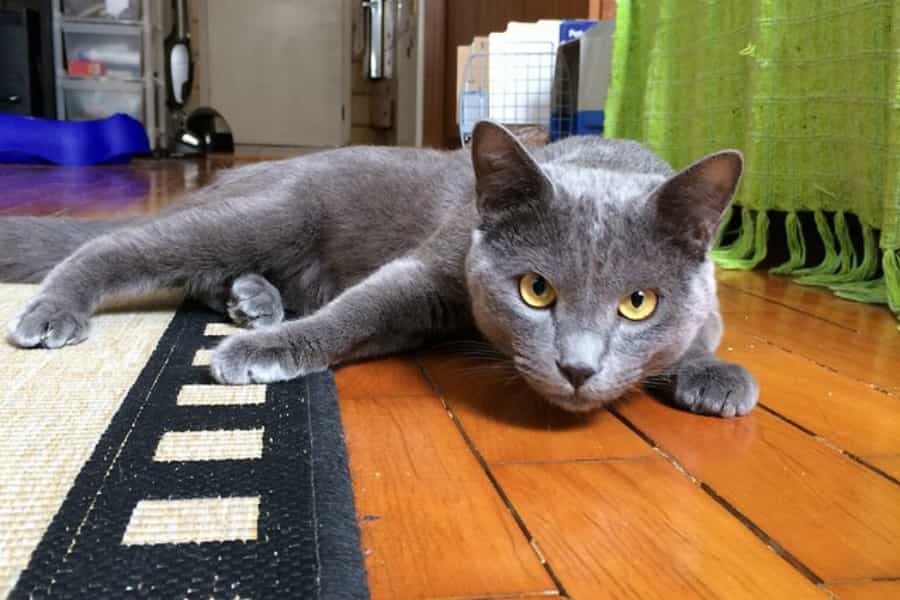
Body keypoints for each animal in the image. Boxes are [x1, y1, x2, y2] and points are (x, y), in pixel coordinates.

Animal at [0, 121, 758, 417]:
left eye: (638, 303)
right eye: (536, 290)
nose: (576, 368)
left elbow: (705, 331)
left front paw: (715, 376)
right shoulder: (430, 269)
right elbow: (358, 309)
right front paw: (260, 353)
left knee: (207, 275)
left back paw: (253, 300)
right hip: (277, 210)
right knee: (125, 247)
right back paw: (55, 310)